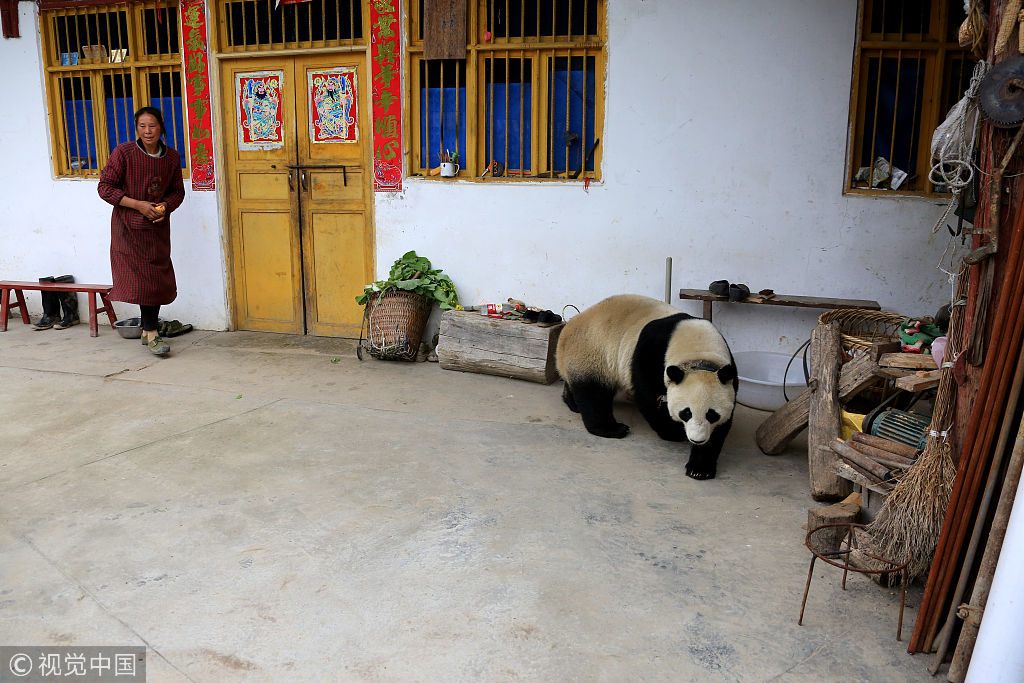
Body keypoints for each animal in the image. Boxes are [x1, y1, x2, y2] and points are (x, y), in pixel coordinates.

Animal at [561, 294, 737, 481]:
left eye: (712, 414)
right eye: (686, 412)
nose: (697, 440)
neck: (698, 350)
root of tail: (572, 323)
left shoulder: (727, 376)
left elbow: (721, 426)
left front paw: (700, 468)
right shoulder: (650, 354)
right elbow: (648, 397)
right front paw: (672, 432)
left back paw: (572, 402)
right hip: (592, 352)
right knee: (593, 394)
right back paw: (612, 428)